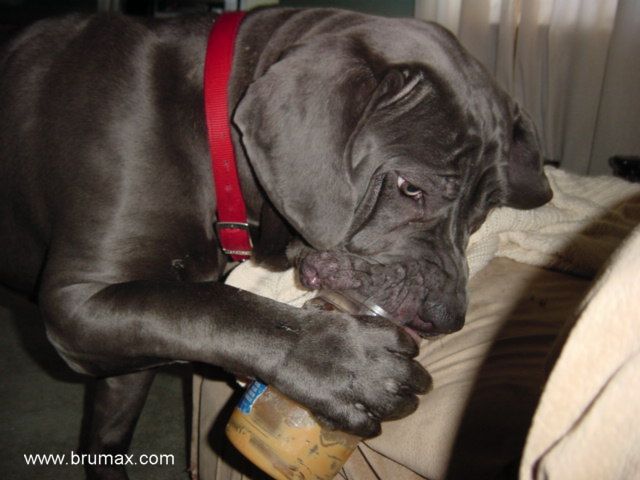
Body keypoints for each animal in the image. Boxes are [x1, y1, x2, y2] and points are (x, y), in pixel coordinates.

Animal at [0, 7, 552, 480]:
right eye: (410, 187)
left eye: (484, 211)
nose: (446, 319)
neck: (207, 133)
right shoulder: (77, 300)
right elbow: (211, 306)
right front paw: (342, 362)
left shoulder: (125, 353)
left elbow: (110, 432)